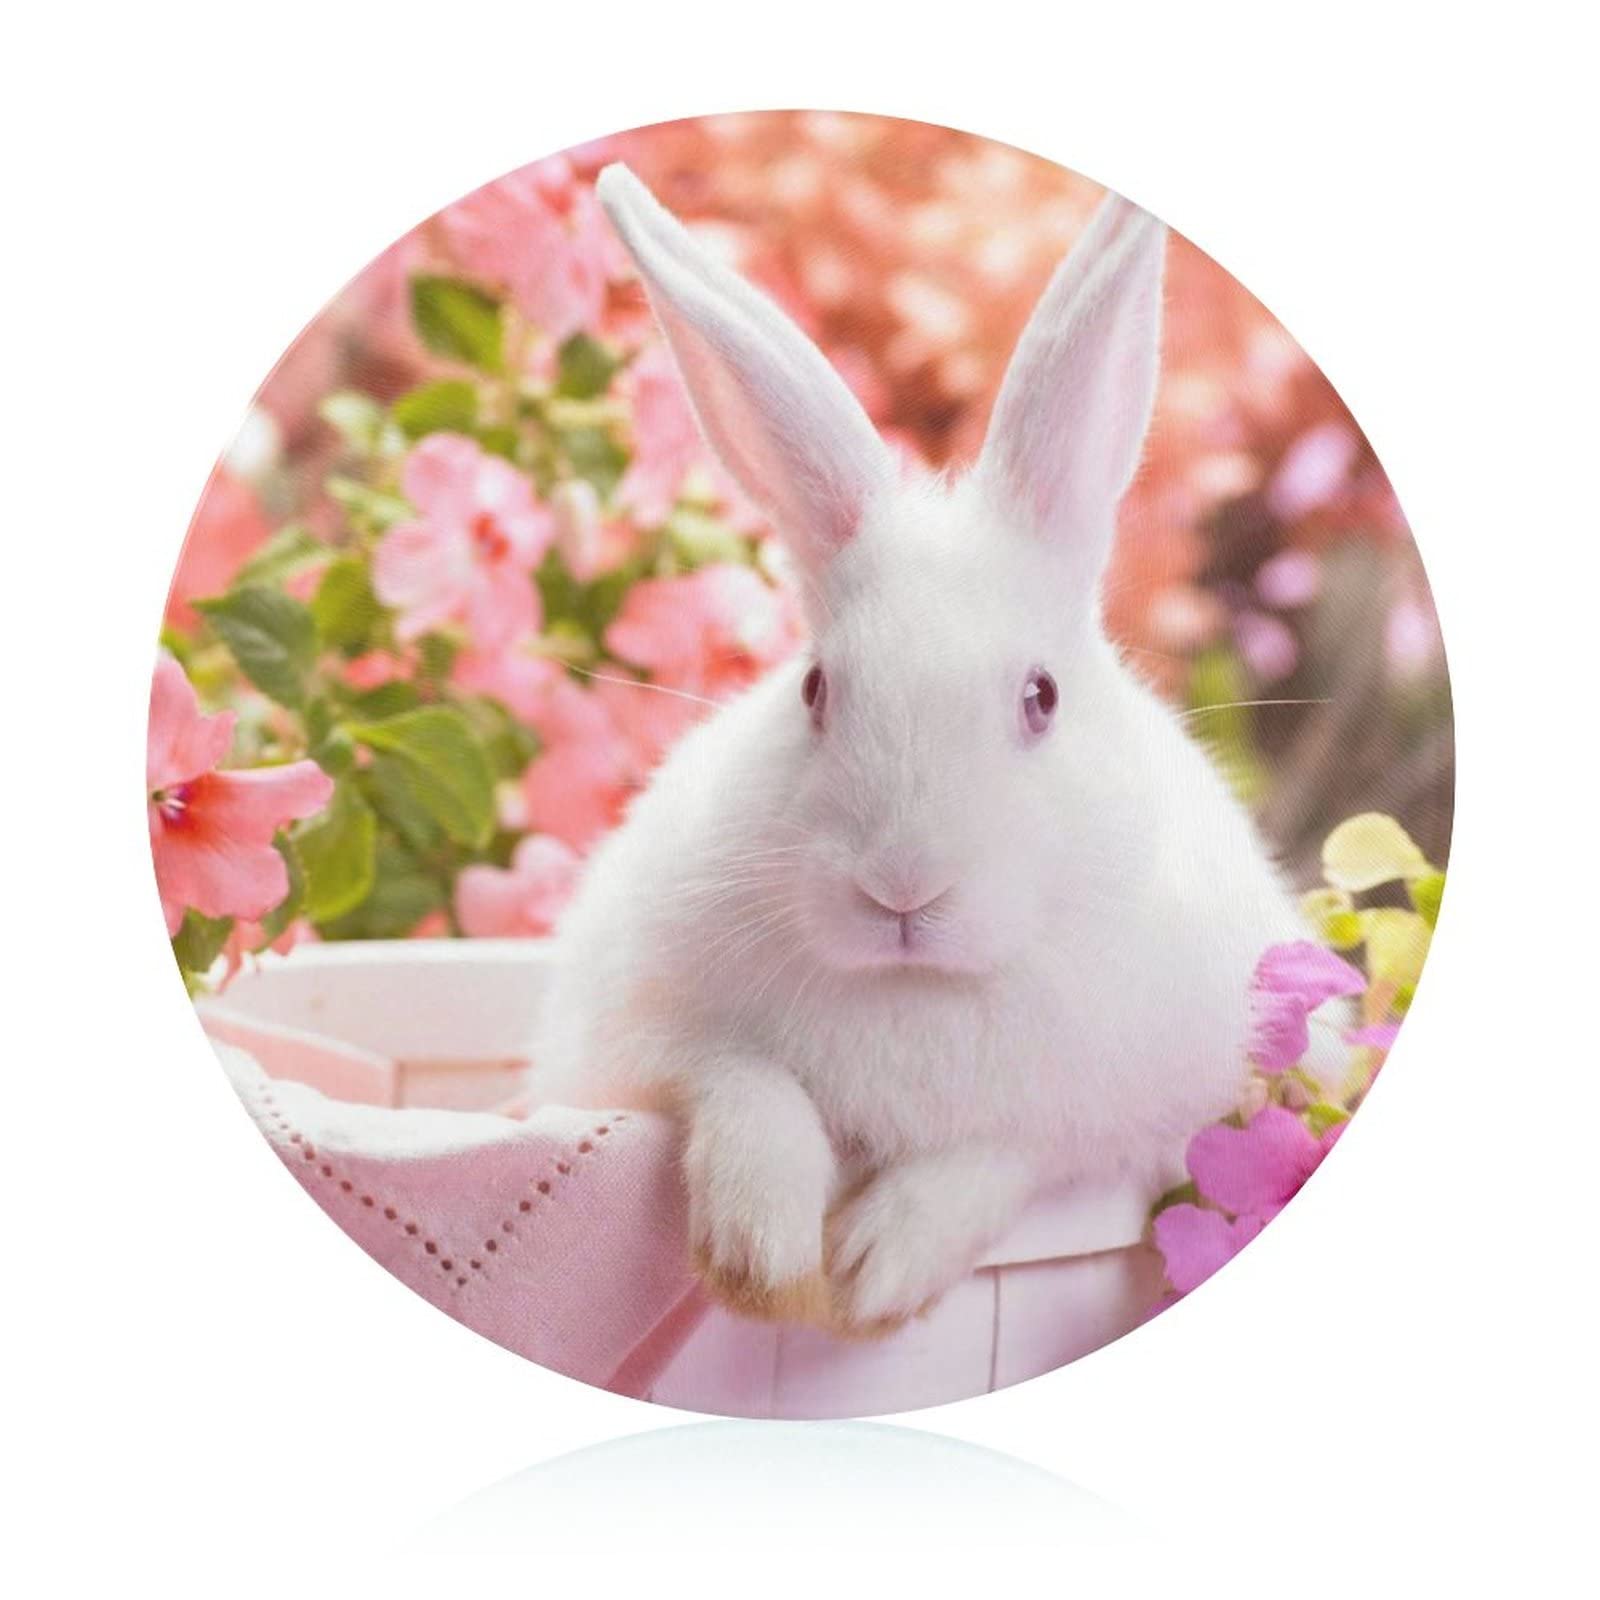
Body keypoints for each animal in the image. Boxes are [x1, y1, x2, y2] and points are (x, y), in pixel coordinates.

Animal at [532, 163, 1333, 1336]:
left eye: (1041, 698)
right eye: (816, 689)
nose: (901, 889)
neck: (918, 989)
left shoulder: (1132, 1116)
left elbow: (1003, 1153)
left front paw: (875, 1268)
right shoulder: (634, 1037)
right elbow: (742, 1083)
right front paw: (764, 1256)